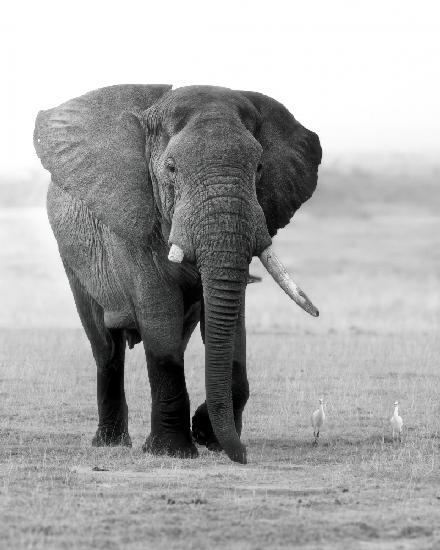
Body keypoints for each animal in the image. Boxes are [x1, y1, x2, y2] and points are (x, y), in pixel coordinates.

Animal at [33, 85, 320, 466]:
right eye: (170, 168)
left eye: (259, 168)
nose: (243, 456)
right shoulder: (133, 227)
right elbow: (160, 320)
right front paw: (173, 451)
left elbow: (232, 330)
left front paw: (208, 436)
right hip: (72, 257)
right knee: (105, 346)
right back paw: (109, 443)